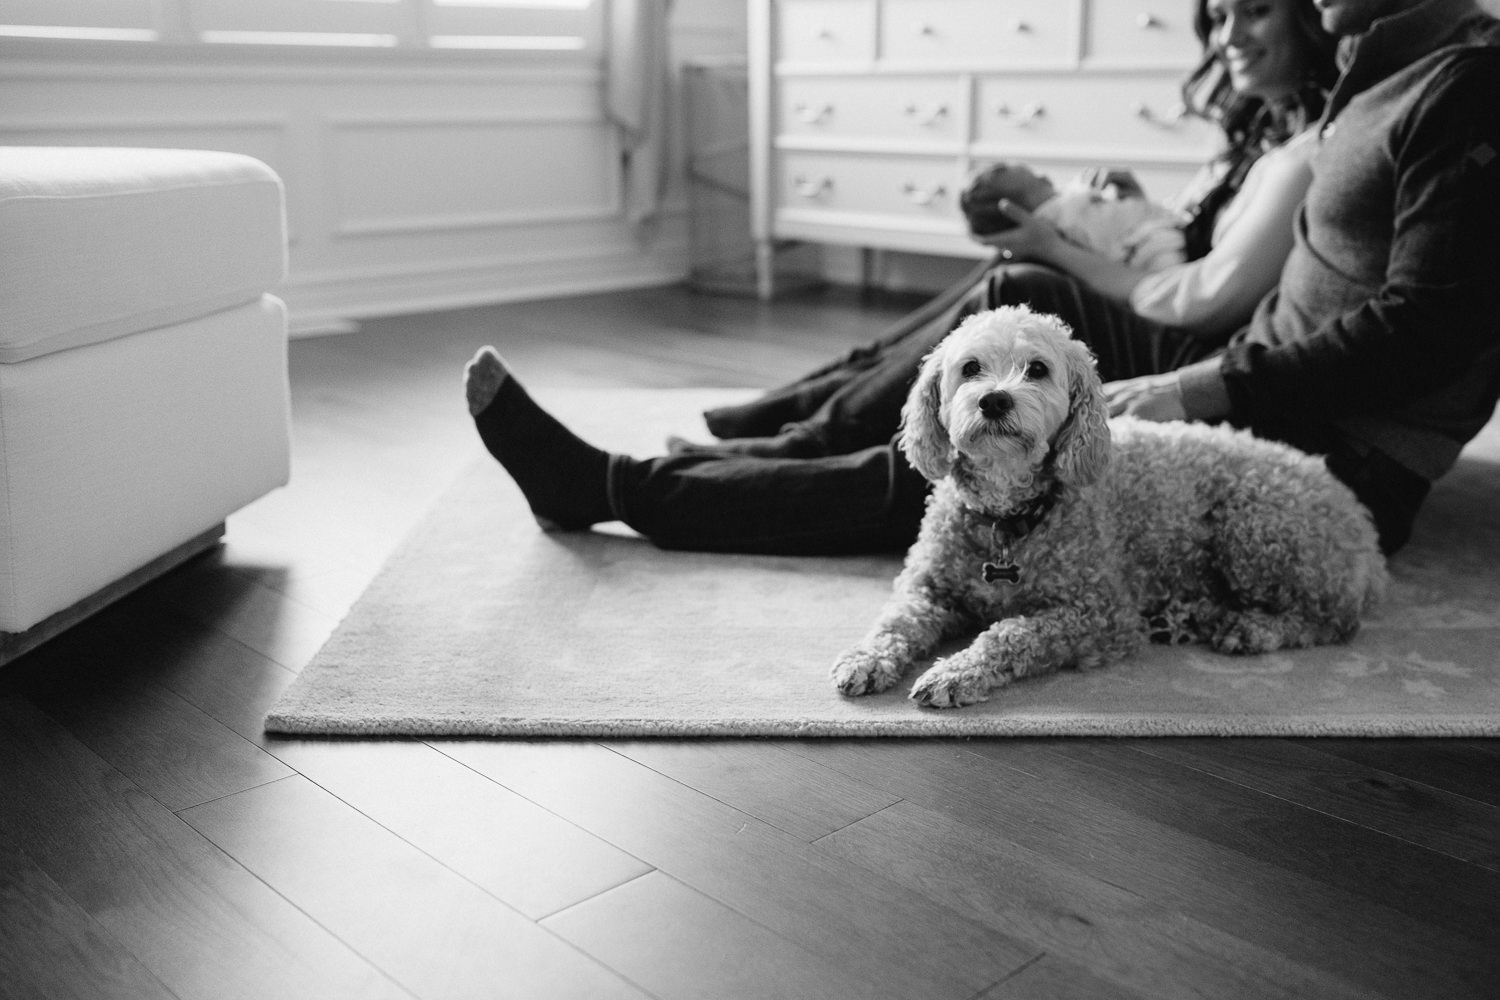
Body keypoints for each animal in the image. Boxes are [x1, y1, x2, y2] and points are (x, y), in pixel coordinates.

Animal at [834, 308, 1380, 707]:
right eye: (970, 368)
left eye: (1037, 369)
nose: (994, 400)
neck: (1007, 517)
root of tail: (1355, 512)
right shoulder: (927, 588)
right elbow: (895, 623)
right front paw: (866, 658)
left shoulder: (1099, 615)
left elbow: (1011, 632)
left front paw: (956, 671)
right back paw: (1185, 618)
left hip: (1256, 529)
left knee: (1330, 620)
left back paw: (1252, 629)